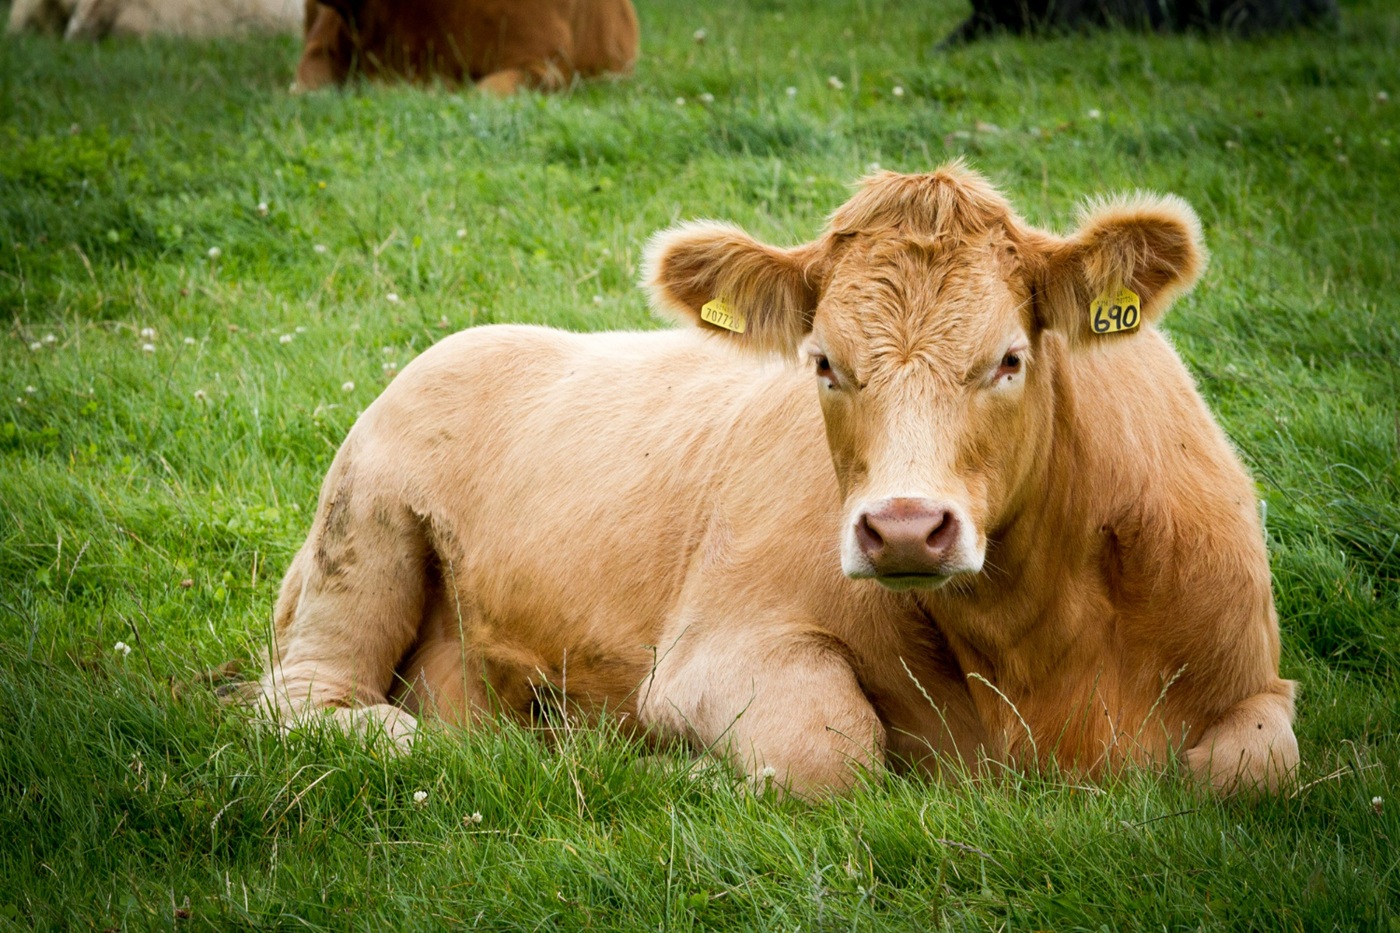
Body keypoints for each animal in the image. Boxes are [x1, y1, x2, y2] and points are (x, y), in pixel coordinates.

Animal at [253, 163, 1298, 798]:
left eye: (1009, 359)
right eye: (824, 362)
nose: (906, 527)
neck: (1035, 647)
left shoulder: (1255, 678)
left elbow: (1254, 768)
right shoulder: (713, 649)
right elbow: (828, 749)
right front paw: (673, 769)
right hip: (363, 534)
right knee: (318, 705)